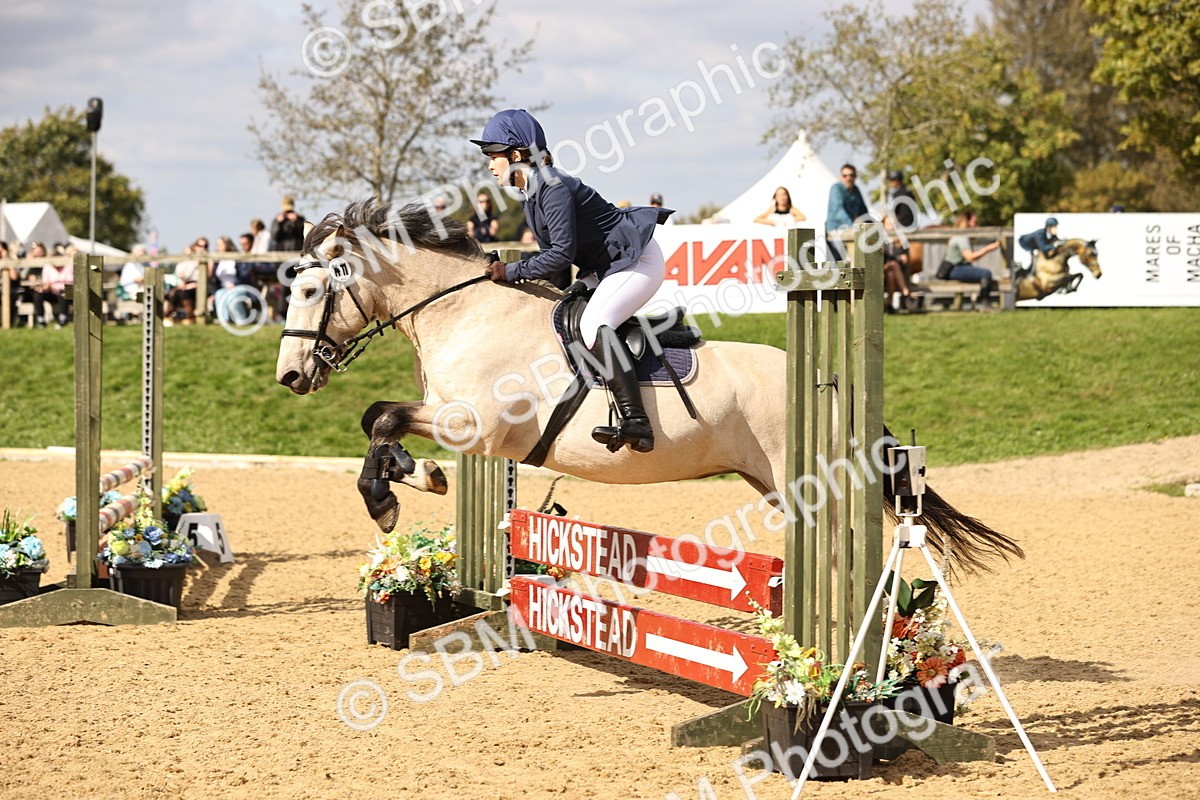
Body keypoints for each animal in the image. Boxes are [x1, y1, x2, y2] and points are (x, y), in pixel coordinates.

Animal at [276, 199, 1023, 574]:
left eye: (311, 290)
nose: (290, 376)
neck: (466, 312)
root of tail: (828, 382)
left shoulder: (475, 425)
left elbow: (383, 418)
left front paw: (389, 498)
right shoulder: (457, 420)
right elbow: (379, 417)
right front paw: (417, 476)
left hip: (804, 483)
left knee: (844, 550)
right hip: (769, 481)